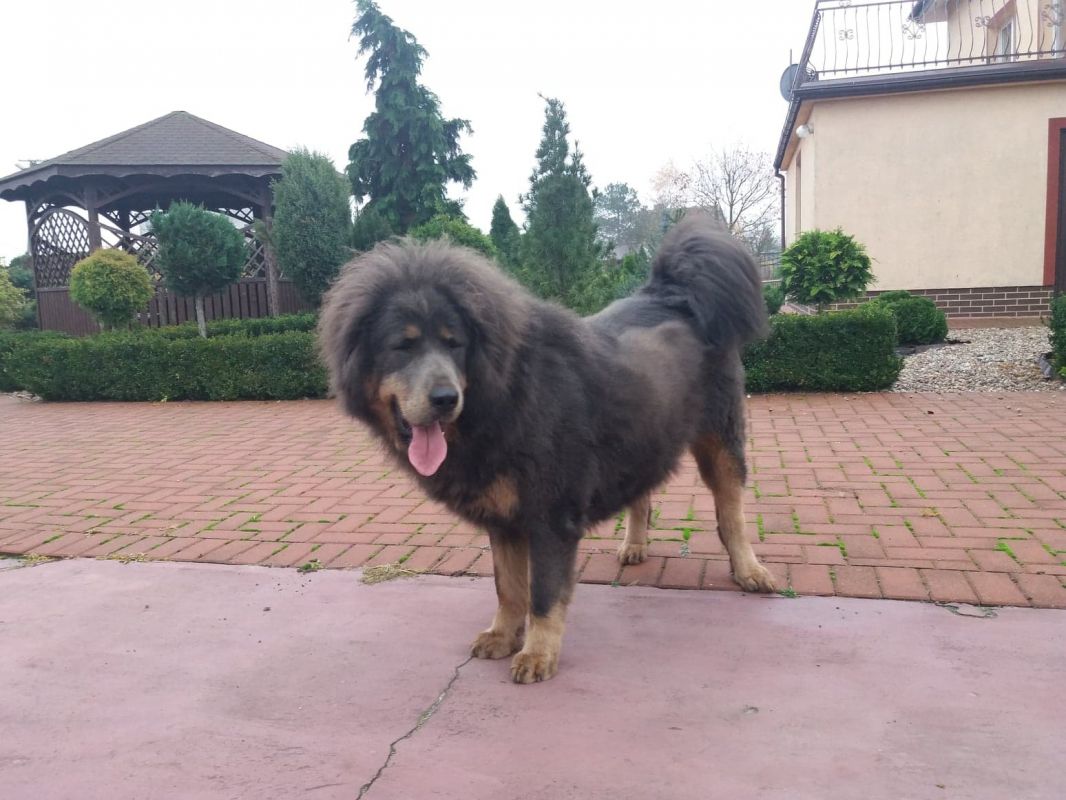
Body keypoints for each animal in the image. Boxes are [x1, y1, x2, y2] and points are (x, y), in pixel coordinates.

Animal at [318, 213, 775, 684]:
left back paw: (749, 570)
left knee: (731, 515)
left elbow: (542, 594)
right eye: (402, 347)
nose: (445, 398)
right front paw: (502, 635)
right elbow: (508, 587)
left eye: (454, 343)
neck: (503, 396)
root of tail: (675, 294)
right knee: (642, 494)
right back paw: (635, 544)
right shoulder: (503, 519)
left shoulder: (551, 517)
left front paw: (538, 653)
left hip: (720, 444)